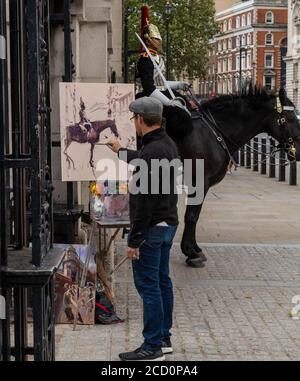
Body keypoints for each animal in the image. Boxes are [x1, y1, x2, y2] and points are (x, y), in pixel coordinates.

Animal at [163, 87, 300, 268]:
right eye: (291, 118)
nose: (299, 151)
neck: (213, 132)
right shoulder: (198, 181)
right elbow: (192, 215)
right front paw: (191, 252)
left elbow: (194, 214)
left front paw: (193, 248)